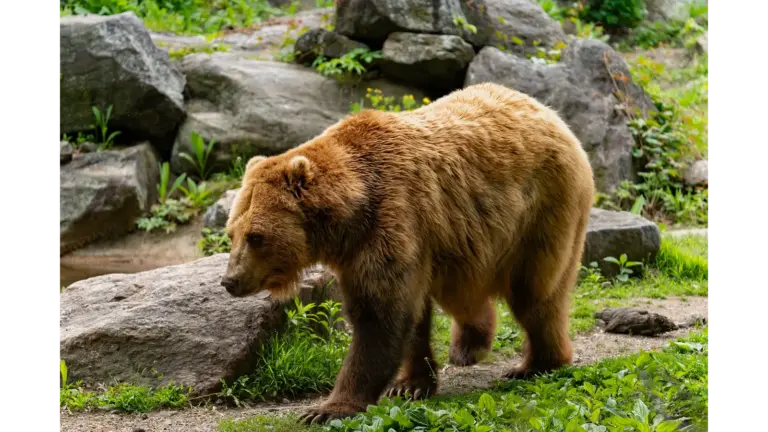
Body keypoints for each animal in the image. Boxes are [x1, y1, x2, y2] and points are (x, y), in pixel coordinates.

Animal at [221, 82, 596, 424]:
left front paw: (326, 408)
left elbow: (380, 316)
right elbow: (408, 315)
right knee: (464, 293)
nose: (230, 281)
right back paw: (469, 346)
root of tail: (550, 113)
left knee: (534, 292)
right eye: (232, 233)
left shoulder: (392, 219)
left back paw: (537, 362)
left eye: (256, 237)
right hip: (462, 240)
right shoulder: (369, 250)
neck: (348, 217)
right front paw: (409, 385)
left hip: (540, 211)